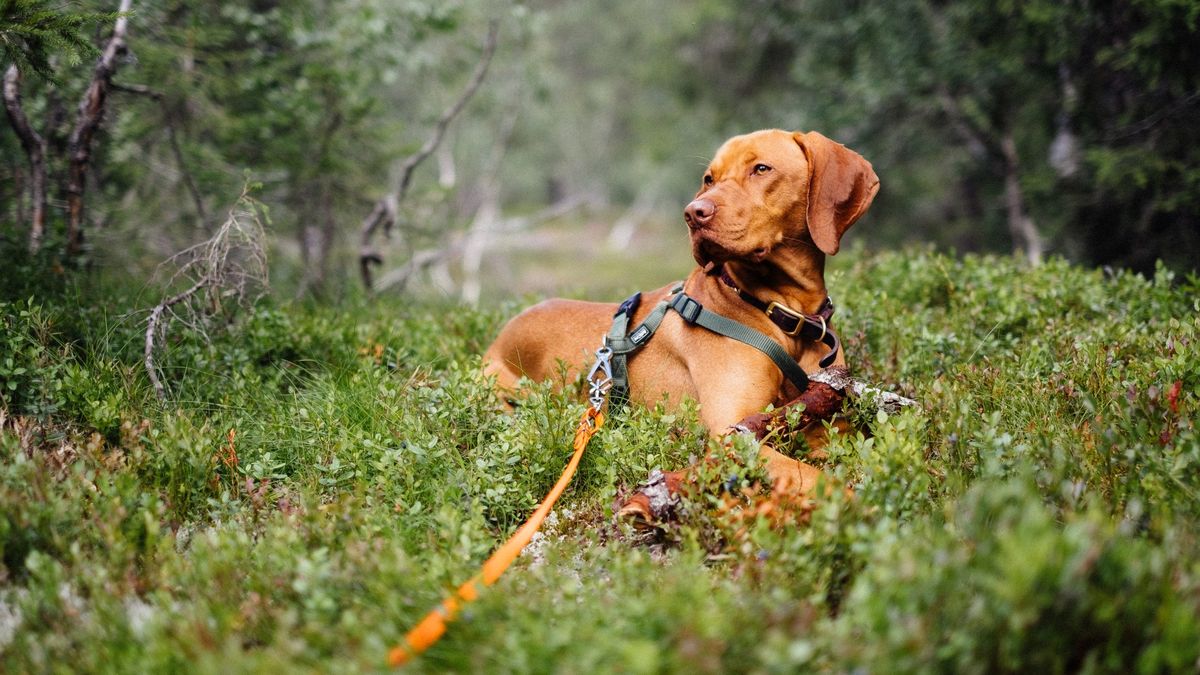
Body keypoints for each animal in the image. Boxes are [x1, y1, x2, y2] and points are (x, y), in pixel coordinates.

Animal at [480, 127, 883, 509]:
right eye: (709, 178)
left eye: (761, 169)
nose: (693, 213)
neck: (785, 314)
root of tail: (503, 330)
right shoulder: (734, 432)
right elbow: (819, 479)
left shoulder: (827, 419)